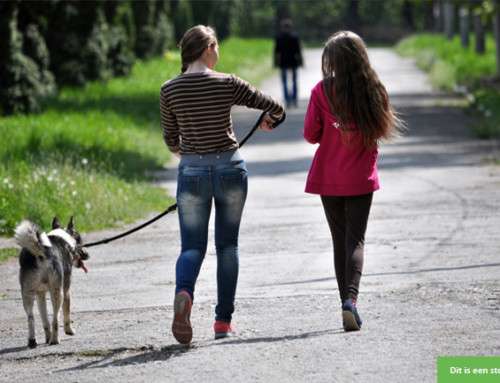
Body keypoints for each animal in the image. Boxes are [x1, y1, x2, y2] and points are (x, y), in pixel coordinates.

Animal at [14, 218, 89, 350]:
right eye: (80, 242)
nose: (87, 255)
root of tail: (41, 251)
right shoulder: (67, 291)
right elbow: (66, 315)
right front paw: (69, 331)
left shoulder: (40, 295)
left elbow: (45, 321)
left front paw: (47, 338)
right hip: (58, 292)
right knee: (55, 319)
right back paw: (54, 340)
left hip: (27, 293)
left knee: (31, 318)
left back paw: (33, 341)